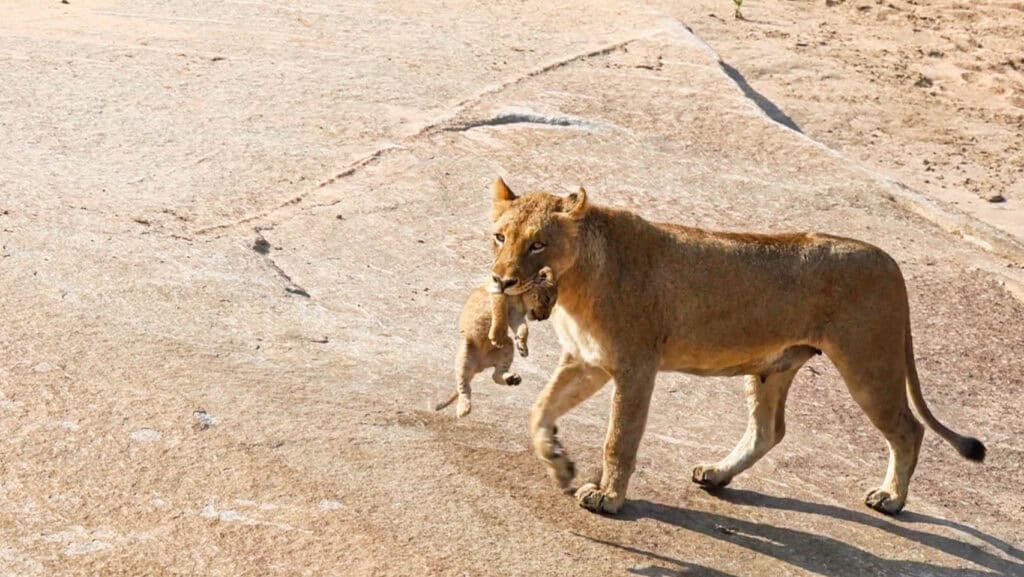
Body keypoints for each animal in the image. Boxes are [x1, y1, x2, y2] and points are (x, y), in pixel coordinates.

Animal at [435, 267, 557, 417]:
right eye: (547, 299)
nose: (545, 317)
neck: (519, 298)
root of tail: (480, 366)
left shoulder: (515, 314)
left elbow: (523, 328)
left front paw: (523, 347)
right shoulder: (498, 294)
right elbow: (500, 314)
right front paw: (497, 335)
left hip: (507, 346)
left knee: (495, 375)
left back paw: (512, 379)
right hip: (465, 350)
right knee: (463, 386)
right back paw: (463, 408)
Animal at [487, 177, 985, 516]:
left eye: (538, 244)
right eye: (500, 237)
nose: (501, 280)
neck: (575, 286)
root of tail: (891, 262)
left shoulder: (636, 366)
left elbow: (619, 438)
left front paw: (609, 498)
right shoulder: (587, 360)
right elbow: (540, 409)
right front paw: (557, 462)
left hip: (869, 364)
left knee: (908, 429)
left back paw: (891, 498)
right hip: (775, 367)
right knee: (769, 430)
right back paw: (716, 474)